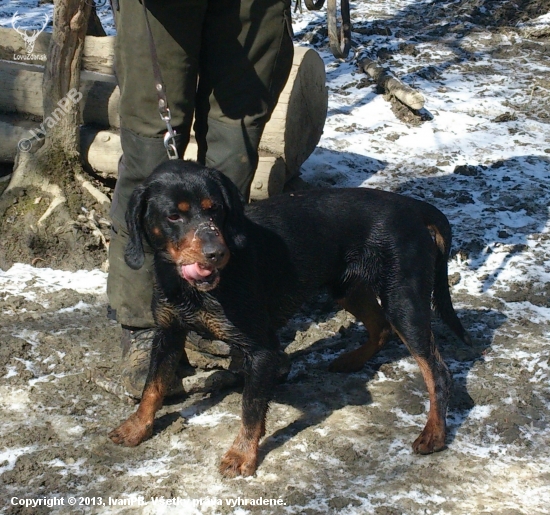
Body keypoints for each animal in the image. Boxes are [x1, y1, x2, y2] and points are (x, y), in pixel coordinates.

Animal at [110, 161, 472, 480]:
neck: (194, 289)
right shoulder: (168, 332)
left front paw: (241, 456)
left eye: (215, 210)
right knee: (381, 327)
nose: (216, 253)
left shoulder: (263, 350)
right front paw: (136, 428)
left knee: (437, 371)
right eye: (173, 215)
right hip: (346, 287)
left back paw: (434, 434)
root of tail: (415, 208)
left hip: (403, 300)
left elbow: (251, 407)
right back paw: (351, 360)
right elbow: (153, 385)